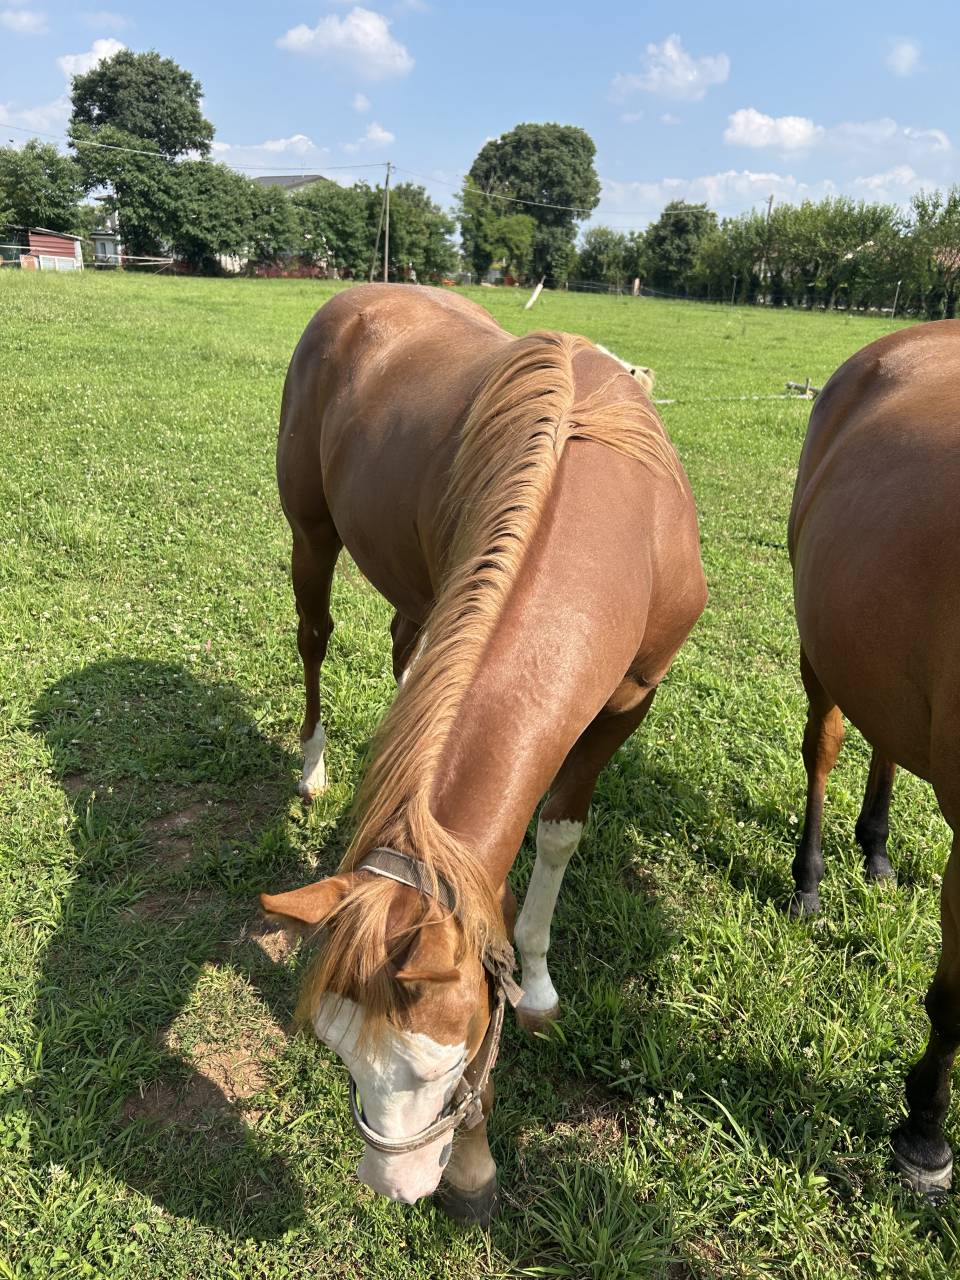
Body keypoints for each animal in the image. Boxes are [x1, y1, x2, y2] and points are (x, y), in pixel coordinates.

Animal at [260, 283, 706, 1224]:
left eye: (456, 1052)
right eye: (339, 1052)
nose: (395, 1189)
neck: (615, 516)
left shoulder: (632, 699)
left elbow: (560, 830)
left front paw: (537, 985)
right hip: (313, 534)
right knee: (315, 638)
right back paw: (316, 768)